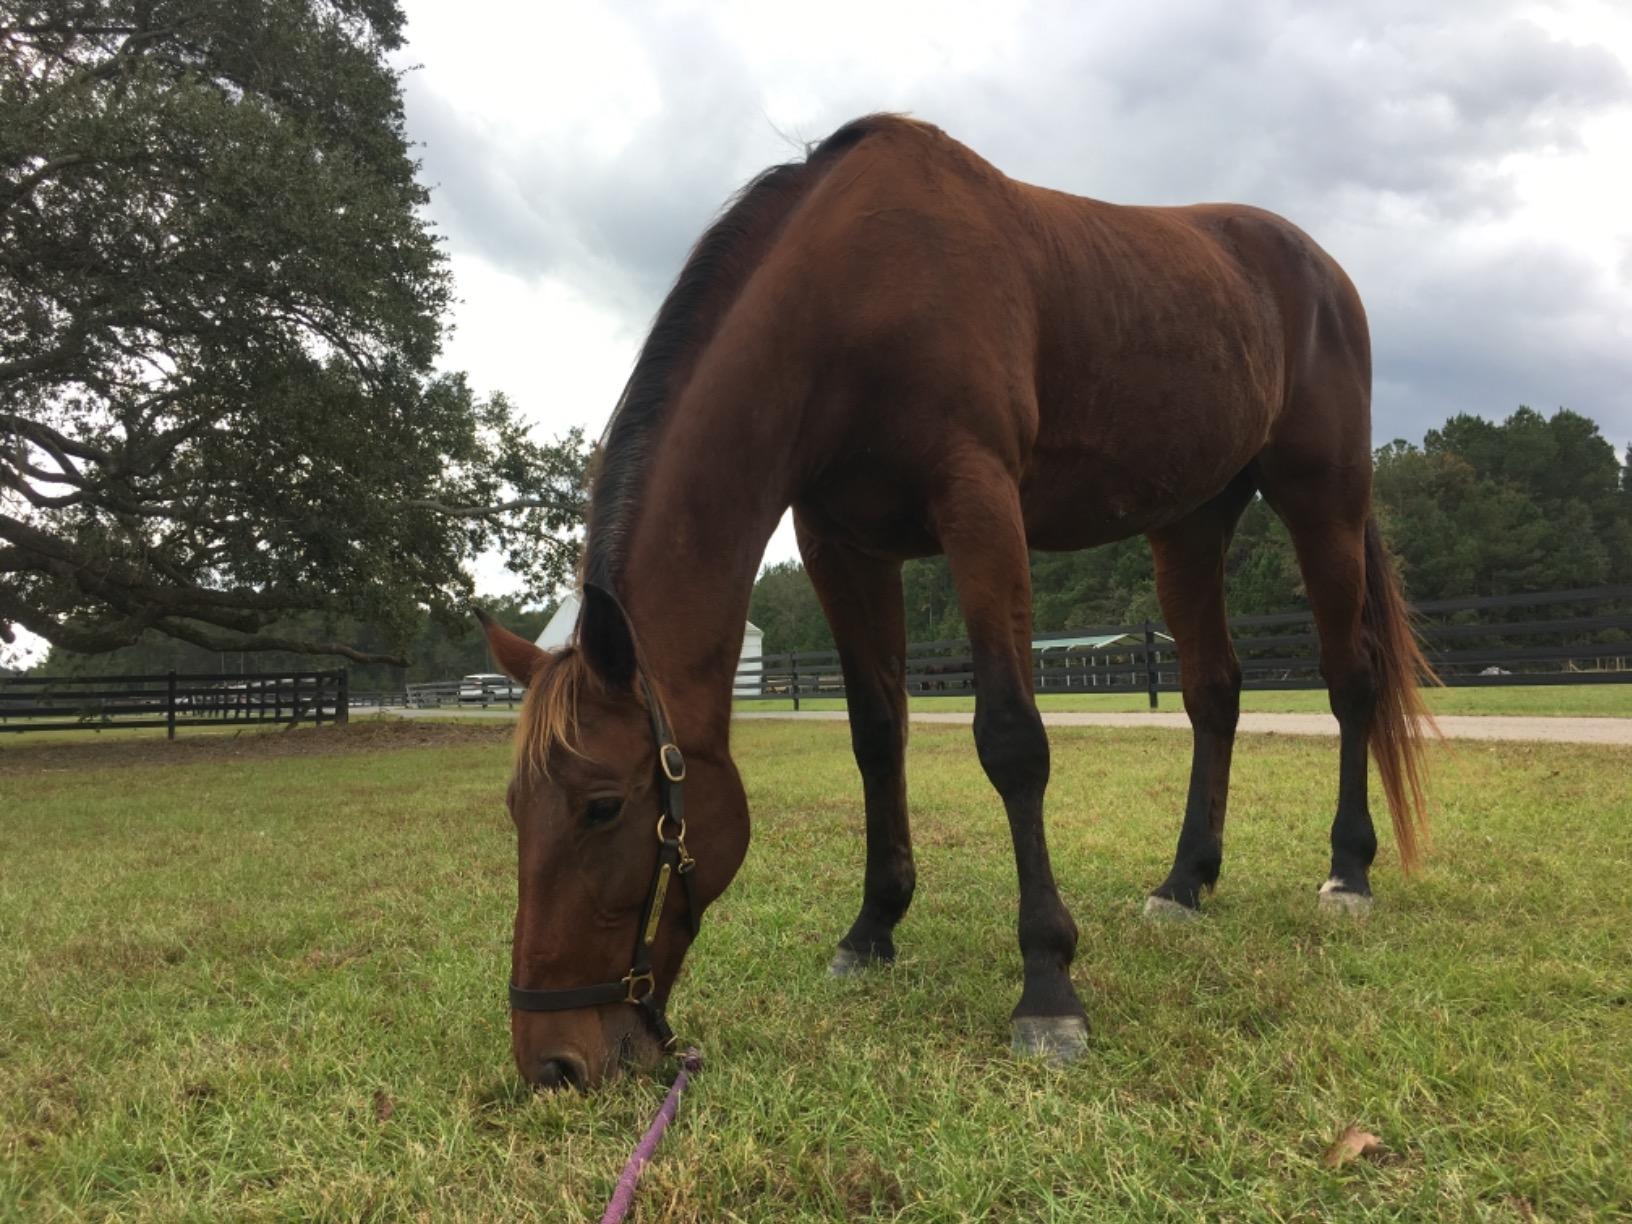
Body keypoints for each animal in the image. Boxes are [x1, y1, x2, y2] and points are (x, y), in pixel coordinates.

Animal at [477, 114, 1435, 1090]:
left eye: (603, 806)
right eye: (515, 808)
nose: (552, 1060)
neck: (850, 296)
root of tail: (1320, 268)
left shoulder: (979, 504)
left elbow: (1012, 739)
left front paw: (1047, 985)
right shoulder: (841, 546)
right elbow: (876, 736)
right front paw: (872, 928)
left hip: (1323, 501)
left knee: (1350, 680)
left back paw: (1348, 872)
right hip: (1191, 526)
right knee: (1213, 693)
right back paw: (1184, 883)